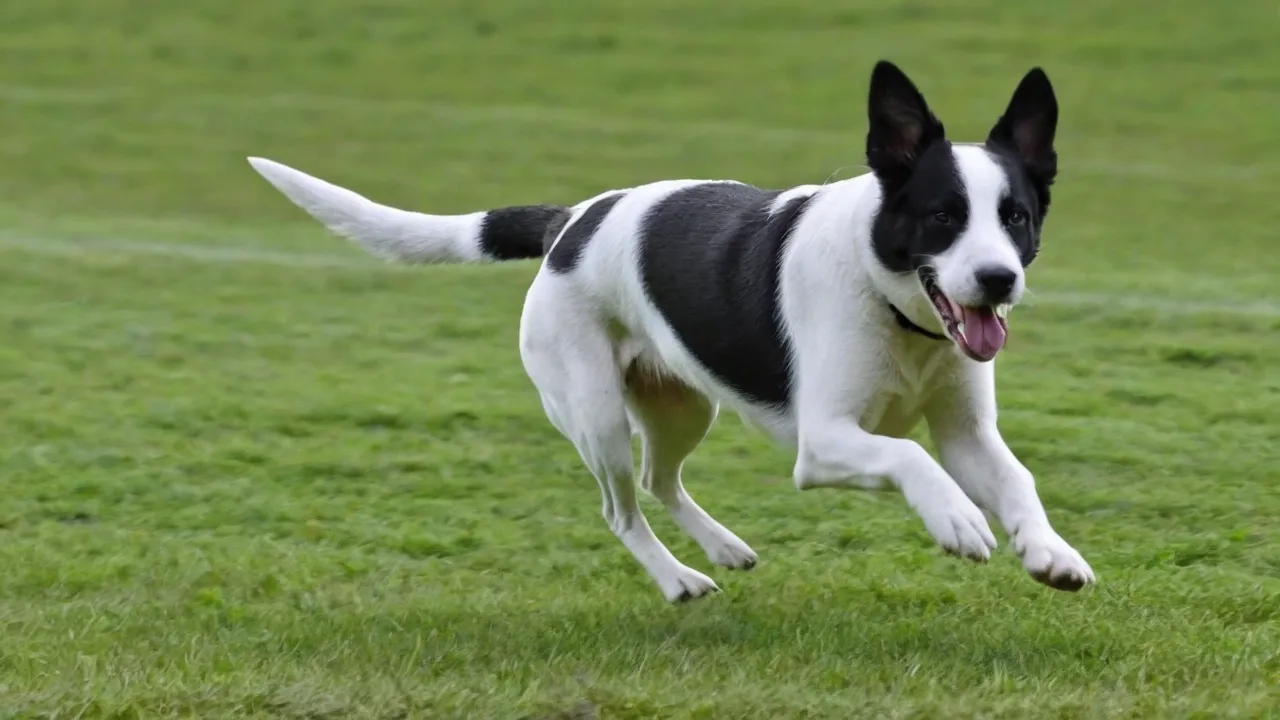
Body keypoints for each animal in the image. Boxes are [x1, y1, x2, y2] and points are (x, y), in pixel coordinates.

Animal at [247, 60, 1090, 599]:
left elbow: (1015, 478)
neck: (894, 307)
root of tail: (569, 222)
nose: (998, 280)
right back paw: (679, 580)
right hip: (593, 414)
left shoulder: (968, 434)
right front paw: (957, 520)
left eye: (1015, 218)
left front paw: (1050, 551)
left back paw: (722, 547)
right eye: (943, 216)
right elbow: (909, 456)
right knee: (620, 508)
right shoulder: (822, 444)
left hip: (683, 403)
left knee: (660, 479)